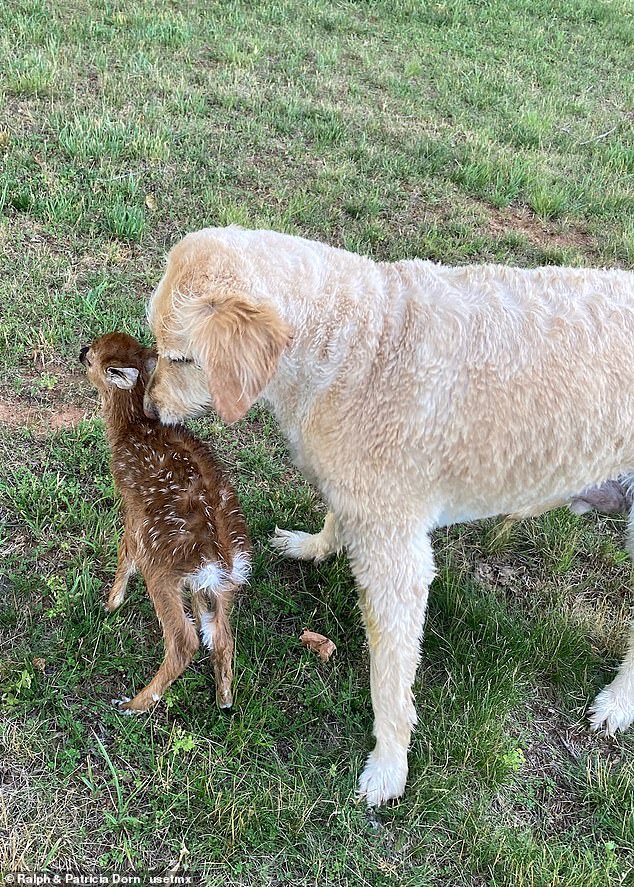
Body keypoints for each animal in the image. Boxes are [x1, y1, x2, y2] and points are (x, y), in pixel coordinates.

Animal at [143, 225, 632, 808]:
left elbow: (390, 678)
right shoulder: (355, 493)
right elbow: (336, 517)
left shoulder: (397, 555)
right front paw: (314, 546)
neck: (354, 342)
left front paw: (390, 767)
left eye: (181, 359)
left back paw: (618, 703)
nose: (148, 411)